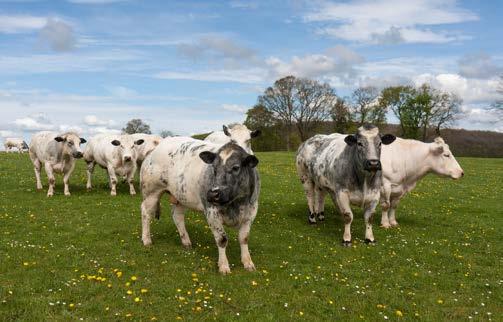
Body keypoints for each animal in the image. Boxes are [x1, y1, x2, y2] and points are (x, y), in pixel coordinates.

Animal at [141, 136, 262, 274]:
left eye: (236, 167)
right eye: (214, 168)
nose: (213, 194)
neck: (235, 203)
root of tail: (158, 145)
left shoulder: (251, 212)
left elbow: (244, 238)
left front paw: (248, 262)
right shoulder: (212, 212)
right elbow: (222, 239)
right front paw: (224, 266)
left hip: (181, 196)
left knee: (177, 216)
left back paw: (186, 242)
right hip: (151, 192)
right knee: (145, 213)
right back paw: (146, 240)